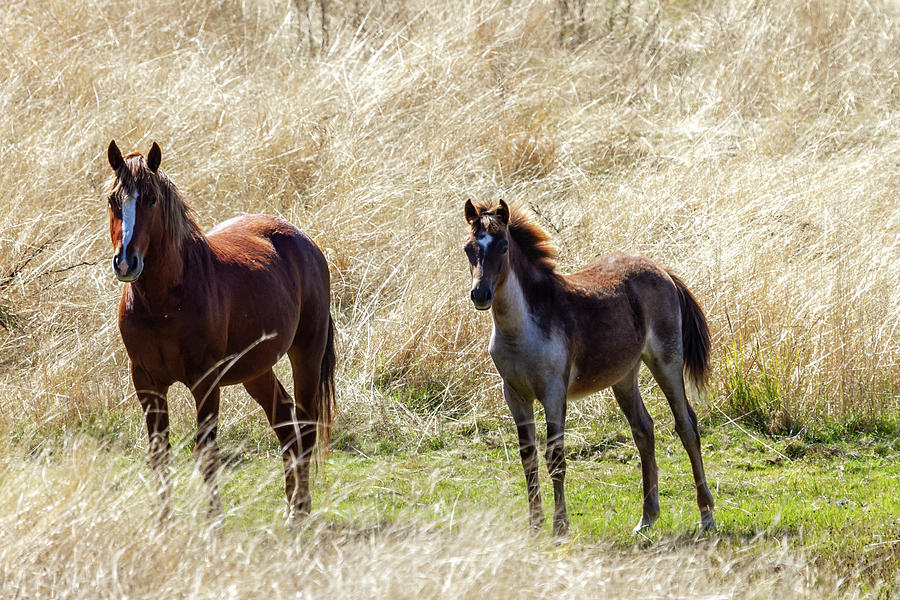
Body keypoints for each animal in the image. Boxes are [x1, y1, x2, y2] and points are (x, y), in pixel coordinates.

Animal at [106, 139, 338, 520]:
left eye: (151, 198)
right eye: (113, 200)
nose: (126, 262)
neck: (164, 302)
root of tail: (304, 241)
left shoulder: (206, 381)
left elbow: (206, 453)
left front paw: (213, 521)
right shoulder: (147, 382)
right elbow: (160, 454)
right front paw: (163, 524)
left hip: (307, 353)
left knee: (304, 428)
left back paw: (300, 510)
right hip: (256, 370)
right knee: (285, 423)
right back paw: (292, 505)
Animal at [464, 198, 716, 536]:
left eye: (503, 246)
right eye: (469, 248)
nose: (481, 294)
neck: (521, 330)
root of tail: (662, 271)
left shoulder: (553, 392)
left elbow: (555, 457)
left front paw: (560, 528)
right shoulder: (514, 394)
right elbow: (528, 456)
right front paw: (534, 526)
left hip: (666, 361)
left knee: (686, 425)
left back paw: (706, 516)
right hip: (624, 376)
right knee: (644, 430)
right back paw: (646, 519)